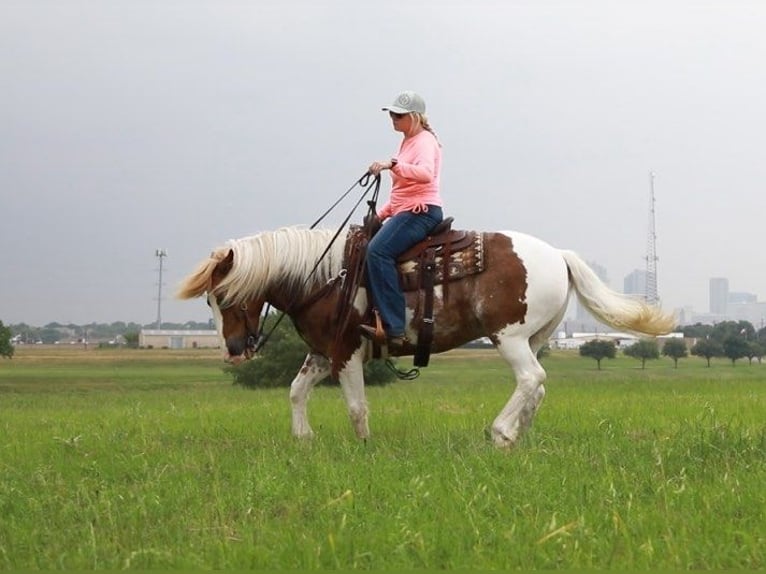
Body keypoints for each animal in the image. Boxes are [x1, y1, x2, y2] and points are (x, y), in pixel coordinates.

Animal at [177, 225, 675, 448]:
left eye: (222, 295)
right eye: (209, 302)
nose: (233, 351)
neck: (323, 275)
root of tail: (557, 255)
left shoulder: (346, 350)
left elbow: (356, 406)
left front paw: (364, 447)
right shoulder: (322, 351)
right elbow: (297, 391)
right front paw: (304, 440)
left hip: (510, 337)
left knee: (530, 379)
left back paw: (501, 434)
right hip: (534, 338)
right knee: (537, 386)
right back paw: (520, 433)